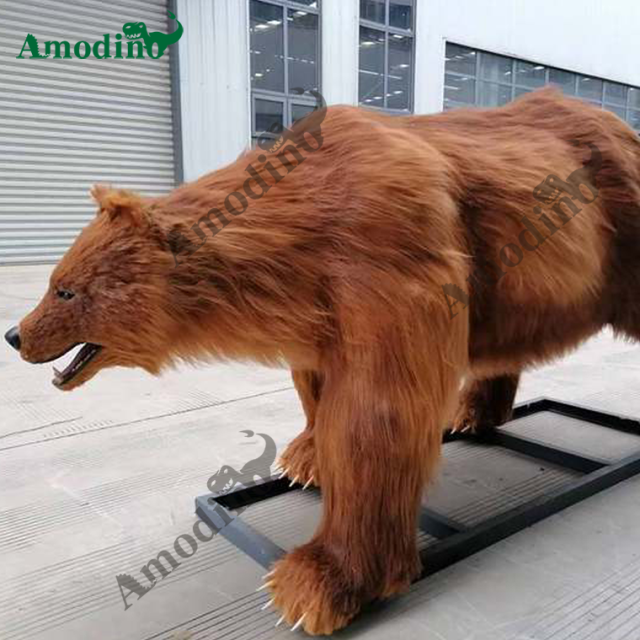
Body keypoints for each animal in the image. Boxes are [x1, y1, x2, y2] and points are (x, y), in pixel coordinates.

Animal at [6, 87, 640, 635]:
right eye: (55, 278)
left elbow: (376, 417)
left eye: (66, 291)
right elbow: (314, 385)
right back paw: (474, 413)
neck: (293, 247)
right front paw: (303, 459)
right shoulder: (317, 308)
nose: (15, 334)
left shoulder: (387, 254)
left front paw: (313, 583)